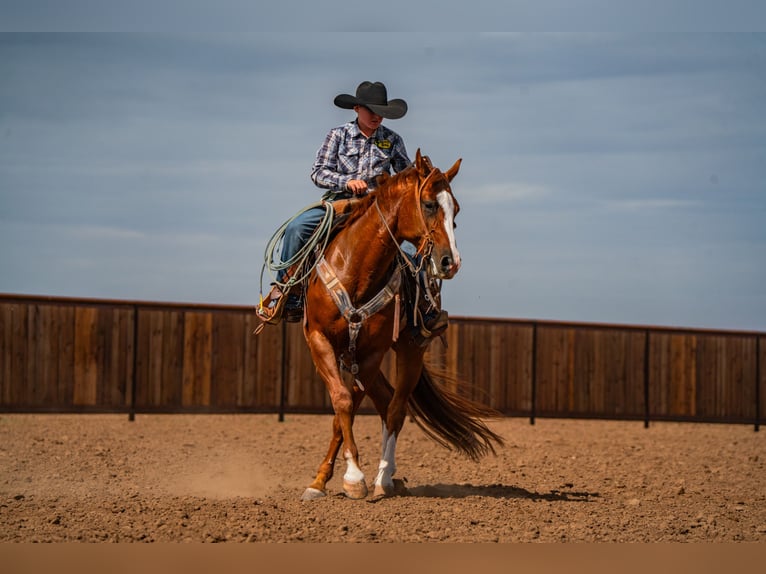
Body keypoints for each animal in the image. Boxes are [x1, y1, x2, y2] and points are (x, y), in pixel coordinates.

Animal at [300, 150, 504, 500]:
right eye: (429, 204)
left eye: (455, 208)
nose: (451, 262)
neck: (356, 271)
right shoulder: (320, 339)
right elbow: (341, 401)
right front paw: (342, 478)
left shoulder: (372, 352)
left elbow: (357, 408)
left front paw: (362, 478)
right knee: (377, 402)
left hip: (406, 350)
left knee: (392, 405)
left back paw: (387, 477)